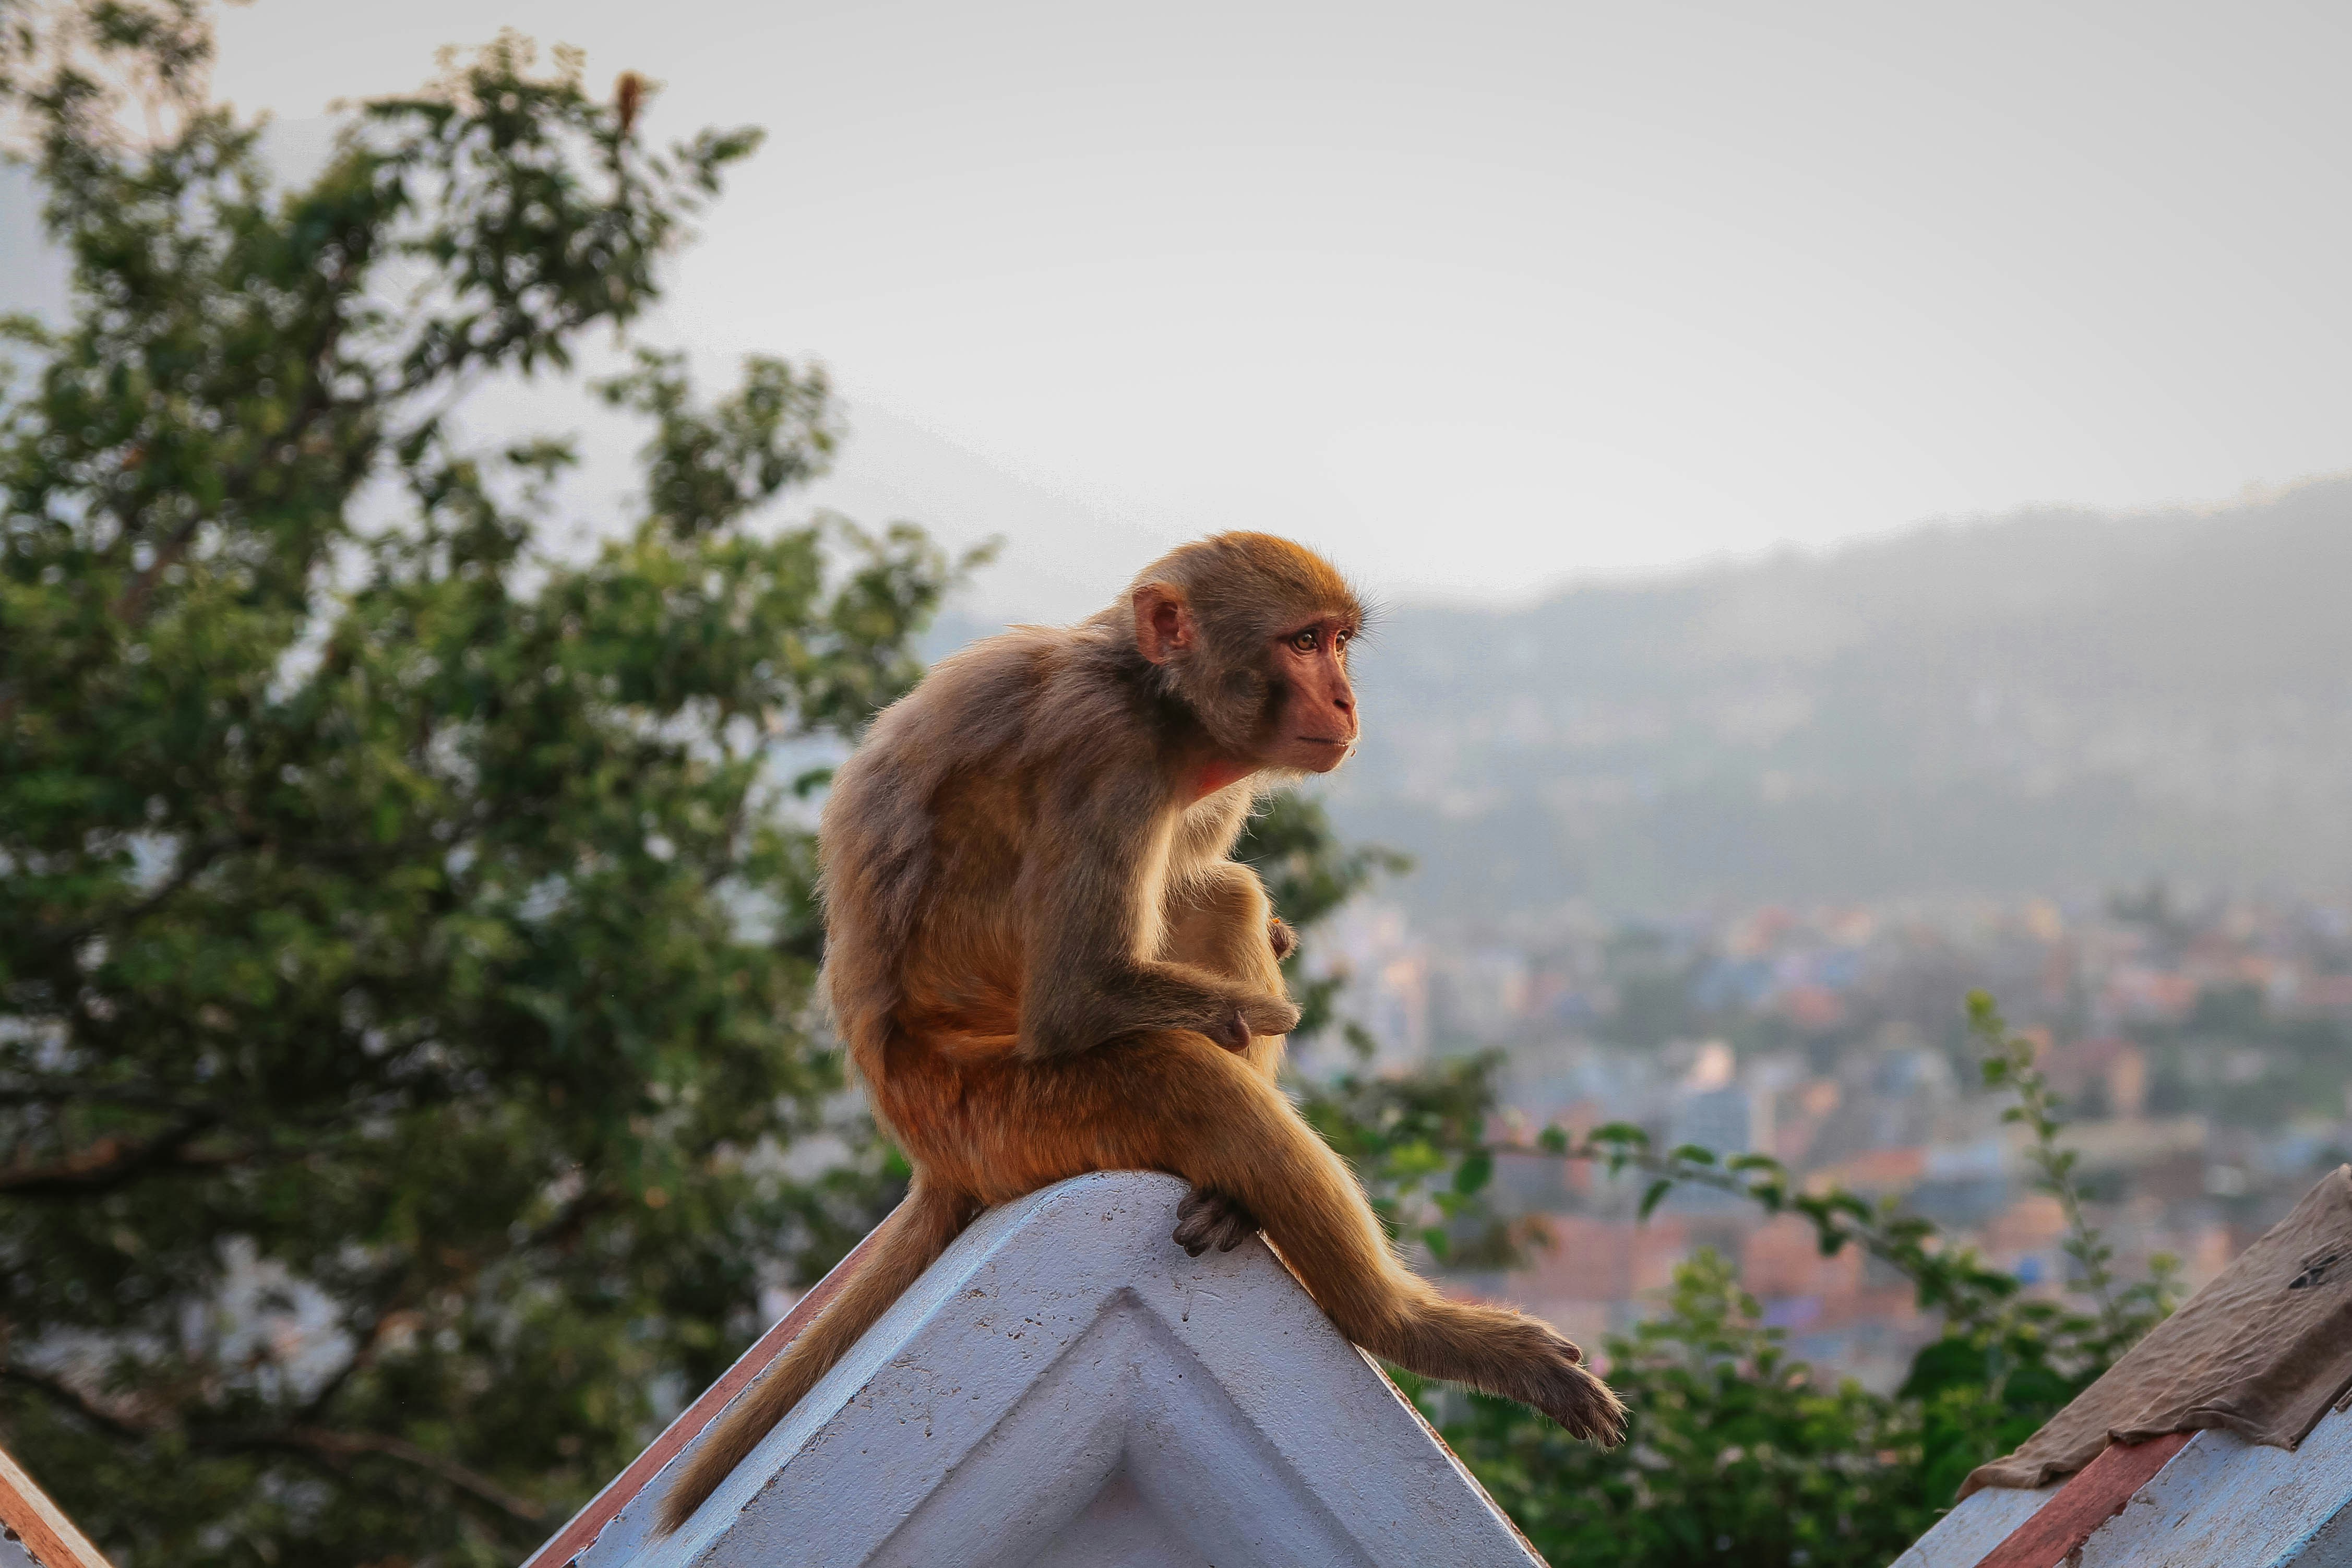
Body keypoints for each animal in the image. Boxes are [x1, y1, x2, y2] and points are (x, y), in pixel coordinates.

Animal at [657, 532, 1622, 1533]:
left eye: (1337, 643)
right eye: (1303, 642)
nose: (1346, 700)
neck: (1156, 702)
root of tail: (924, 1148)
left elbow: (1199, 895)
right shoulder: (1108, 754)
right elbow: (1076, 999)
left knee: (1218, 896)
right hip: (1003, 1117)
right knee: (1184, 1072)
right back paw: (1406, 1327)